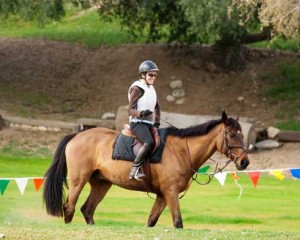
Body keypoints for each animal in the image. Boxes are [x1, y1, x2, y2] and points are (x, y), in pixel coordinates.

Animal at [42, 111, 248, 228]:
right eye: (231, 135)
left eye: (242, 134)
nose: (244, 162)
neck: (182, 150)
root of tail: (77, 135)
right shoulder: (170, 192)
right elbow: (178, 223)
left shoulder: (163, 196)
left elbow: (151, 221)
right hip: (79, 181)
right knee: (69, 208)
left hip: (101, 184)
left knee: (87, 209)